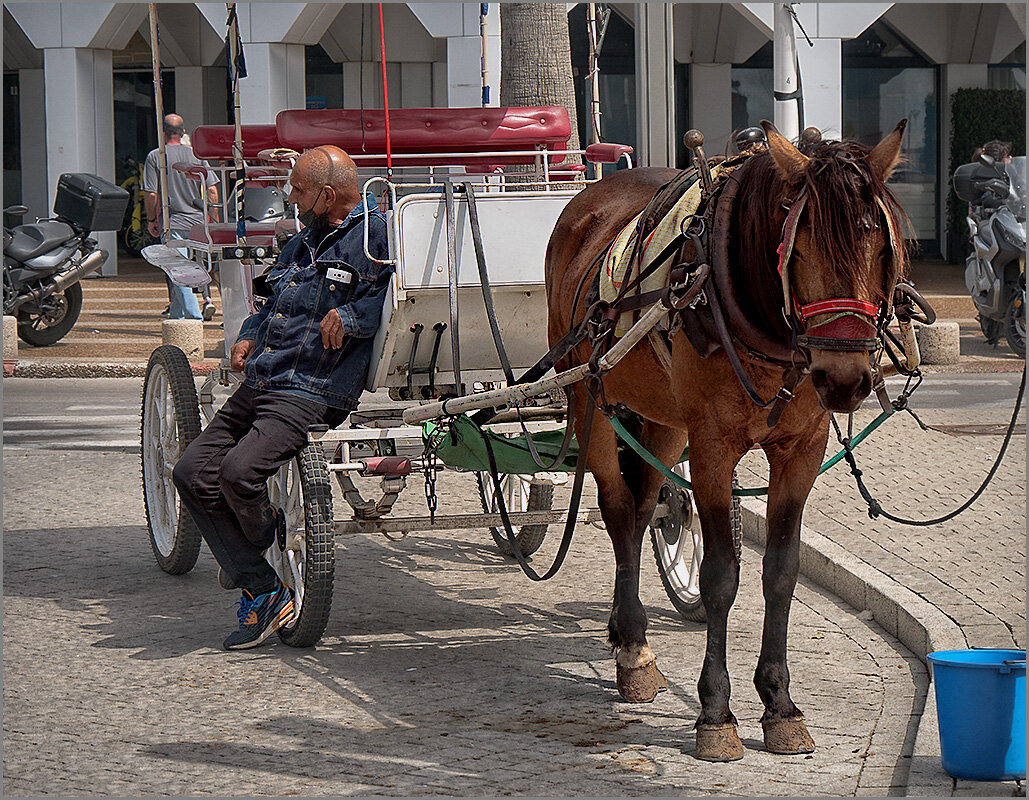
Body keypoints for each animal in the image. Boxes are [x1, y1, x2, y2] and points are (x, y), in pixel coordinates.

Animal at [547, 119, 909, 761]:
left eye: (880, 248)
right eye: (799, 249)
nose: (845, 378)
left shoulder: (802, 450)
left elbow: (781, 573)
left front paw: (780, 704)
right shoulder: (712, 448)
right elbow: (720, 577)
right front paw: (716, 713)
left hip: (666, 422)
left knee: (642, 510)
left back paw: (630, 642)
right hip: (589, 397)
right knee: (616, 508)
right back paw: (634, 649)